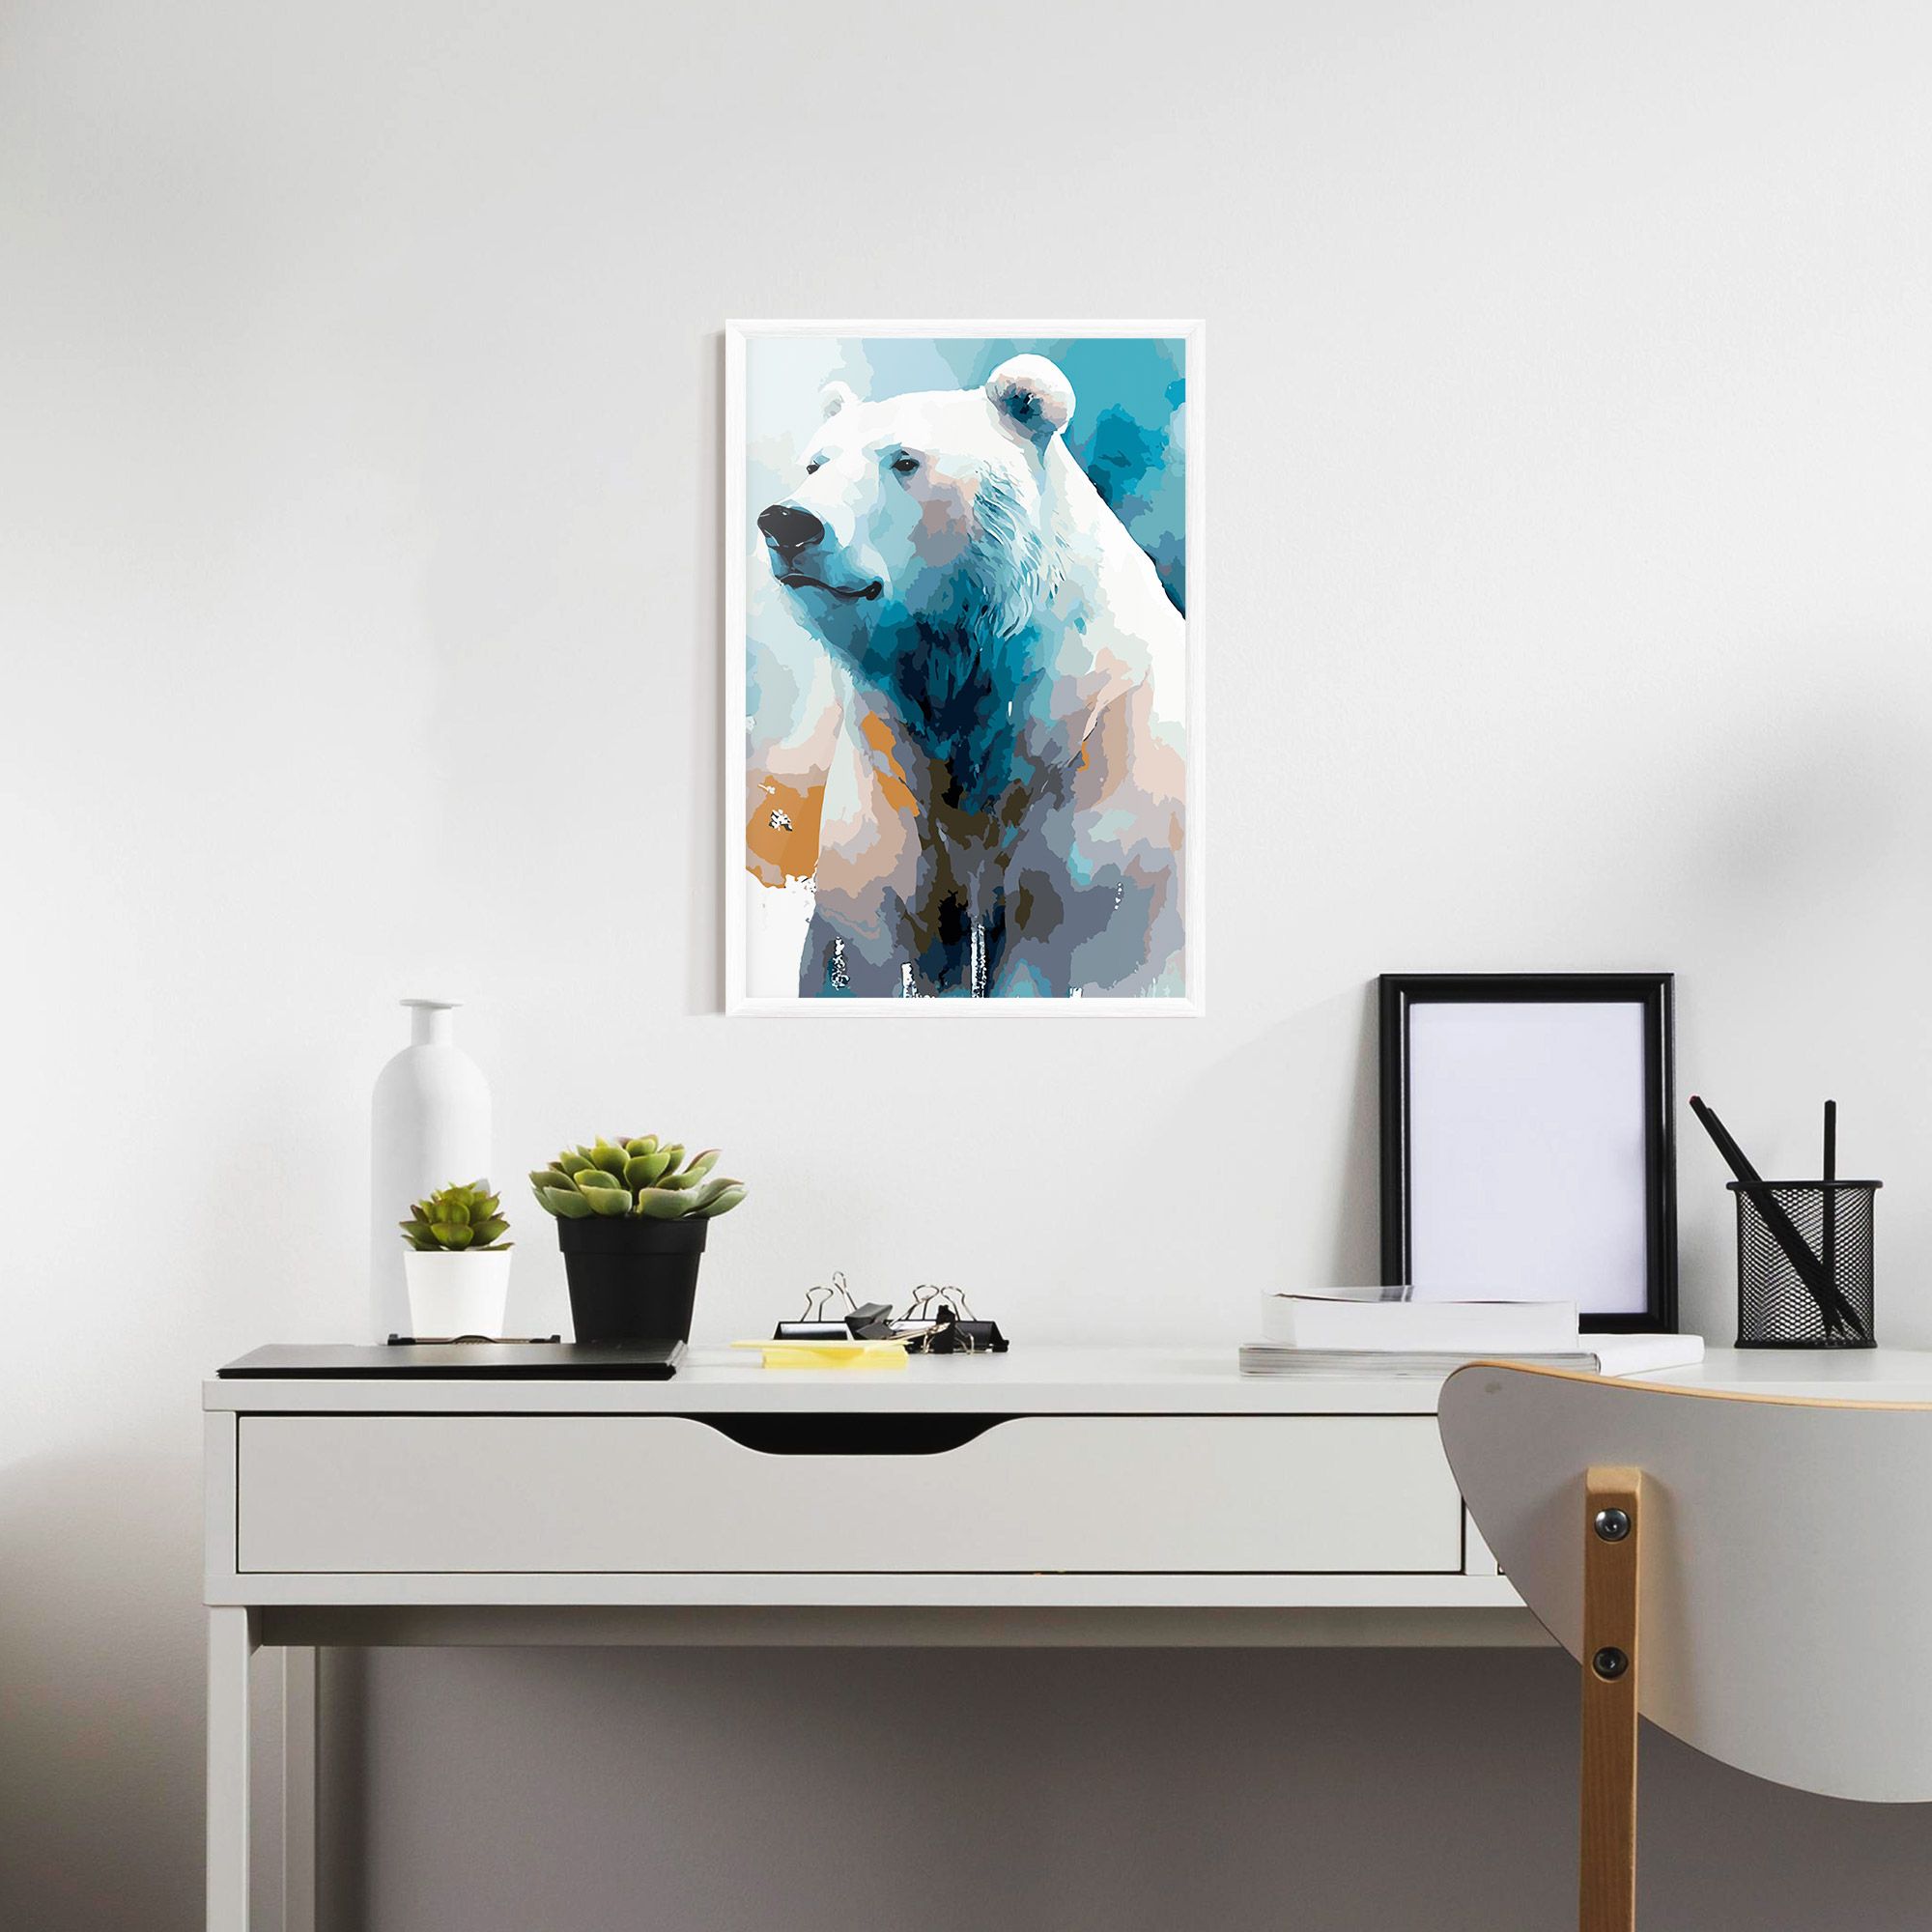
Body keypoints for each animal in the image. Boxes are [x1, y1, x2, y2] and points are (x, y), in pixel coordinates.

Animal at [752, 354, 1187, 998]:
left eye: (904, 460)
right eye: (815, 462)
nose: (787, 522)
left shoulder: (1107, 791)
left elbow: (1091, 950)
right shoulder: (890, 785)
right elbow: (866, 944)